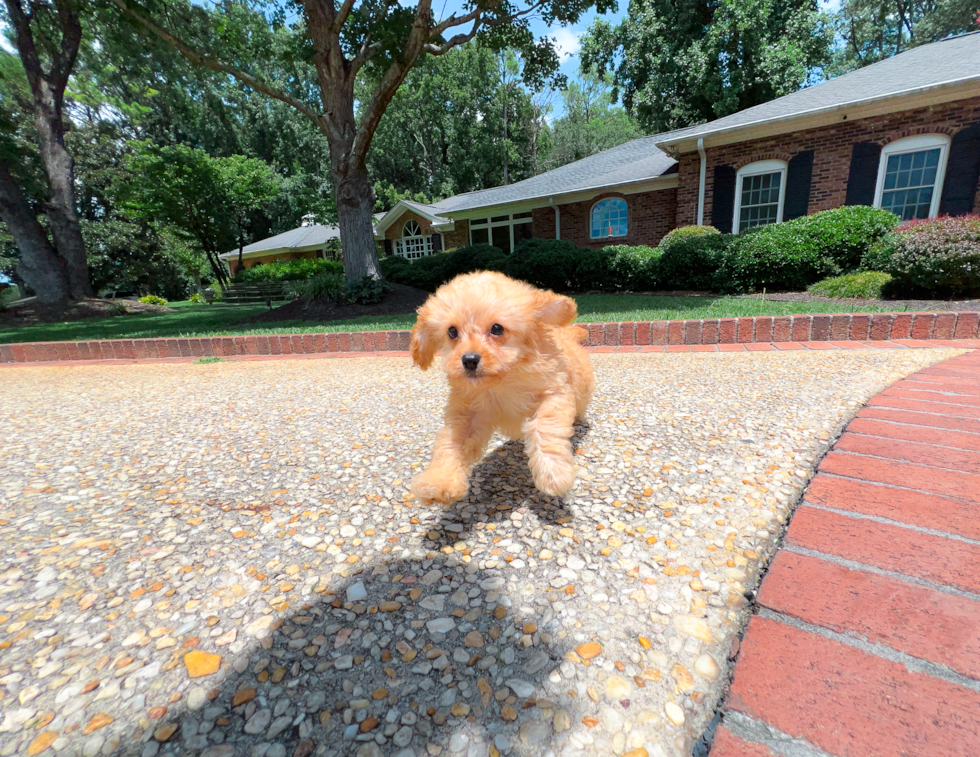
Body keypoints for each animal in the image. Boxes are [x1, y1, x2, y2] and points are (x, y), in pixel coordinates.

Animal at [408, 268, 592, 504]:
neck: (502, 381)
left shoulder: (554, 393)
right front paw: (440, 481)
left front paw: (553, 474)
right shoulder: (467, 411)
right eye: (452, 331)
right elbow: (452, 443)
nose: (469, 360)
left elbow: (544, 426)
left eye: (497, 328)